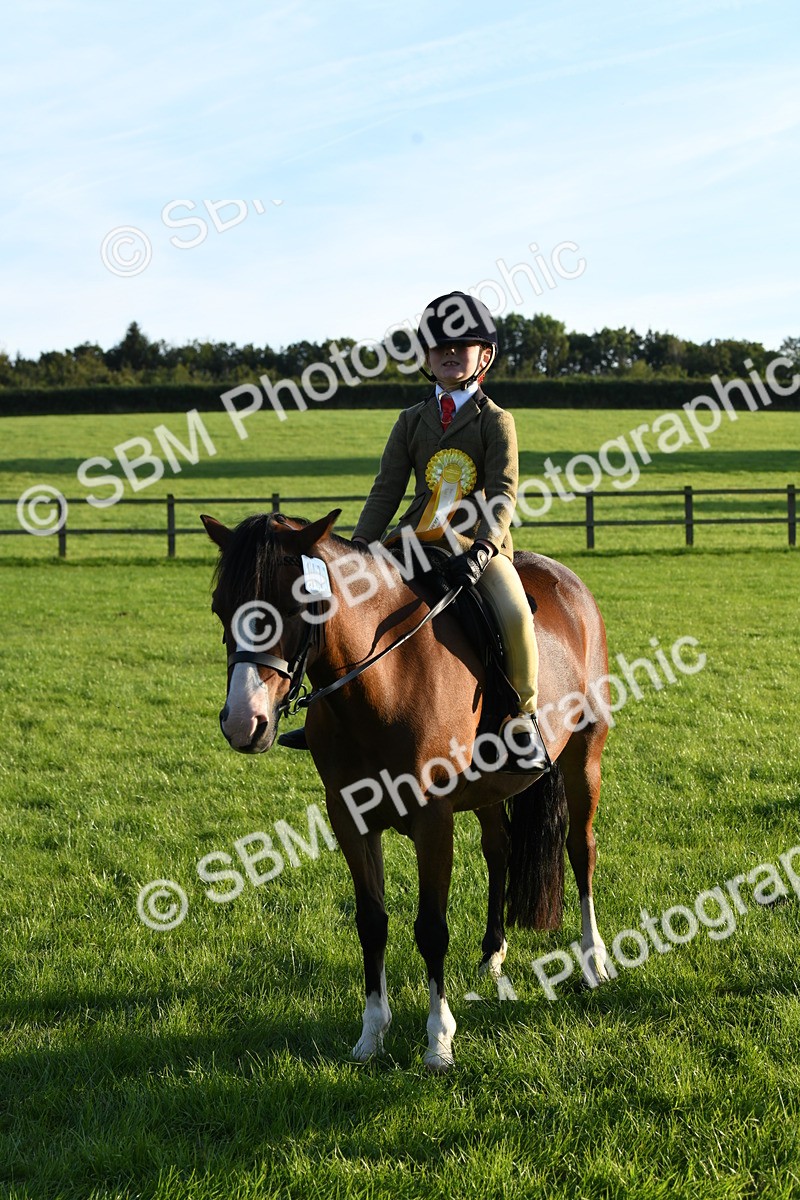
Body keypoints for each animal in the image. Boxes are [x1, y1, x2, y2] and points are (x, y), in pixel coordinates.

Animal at [202, 508, 611, 1070]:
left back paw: (594, 961)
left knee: (580, 849)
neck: (383, 682)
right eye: (221, 608)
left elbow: (431, 929)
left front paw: (439, 1041)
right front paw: (372, 1034)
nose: (244, 723)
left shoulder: (432, 819)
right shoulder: (348, 818)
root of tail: (567, 580)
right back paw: (493, 953)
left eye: (297, 604)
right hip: (488, 789)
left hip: (584, 755)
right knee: (500, 849)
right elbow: (371, 921)